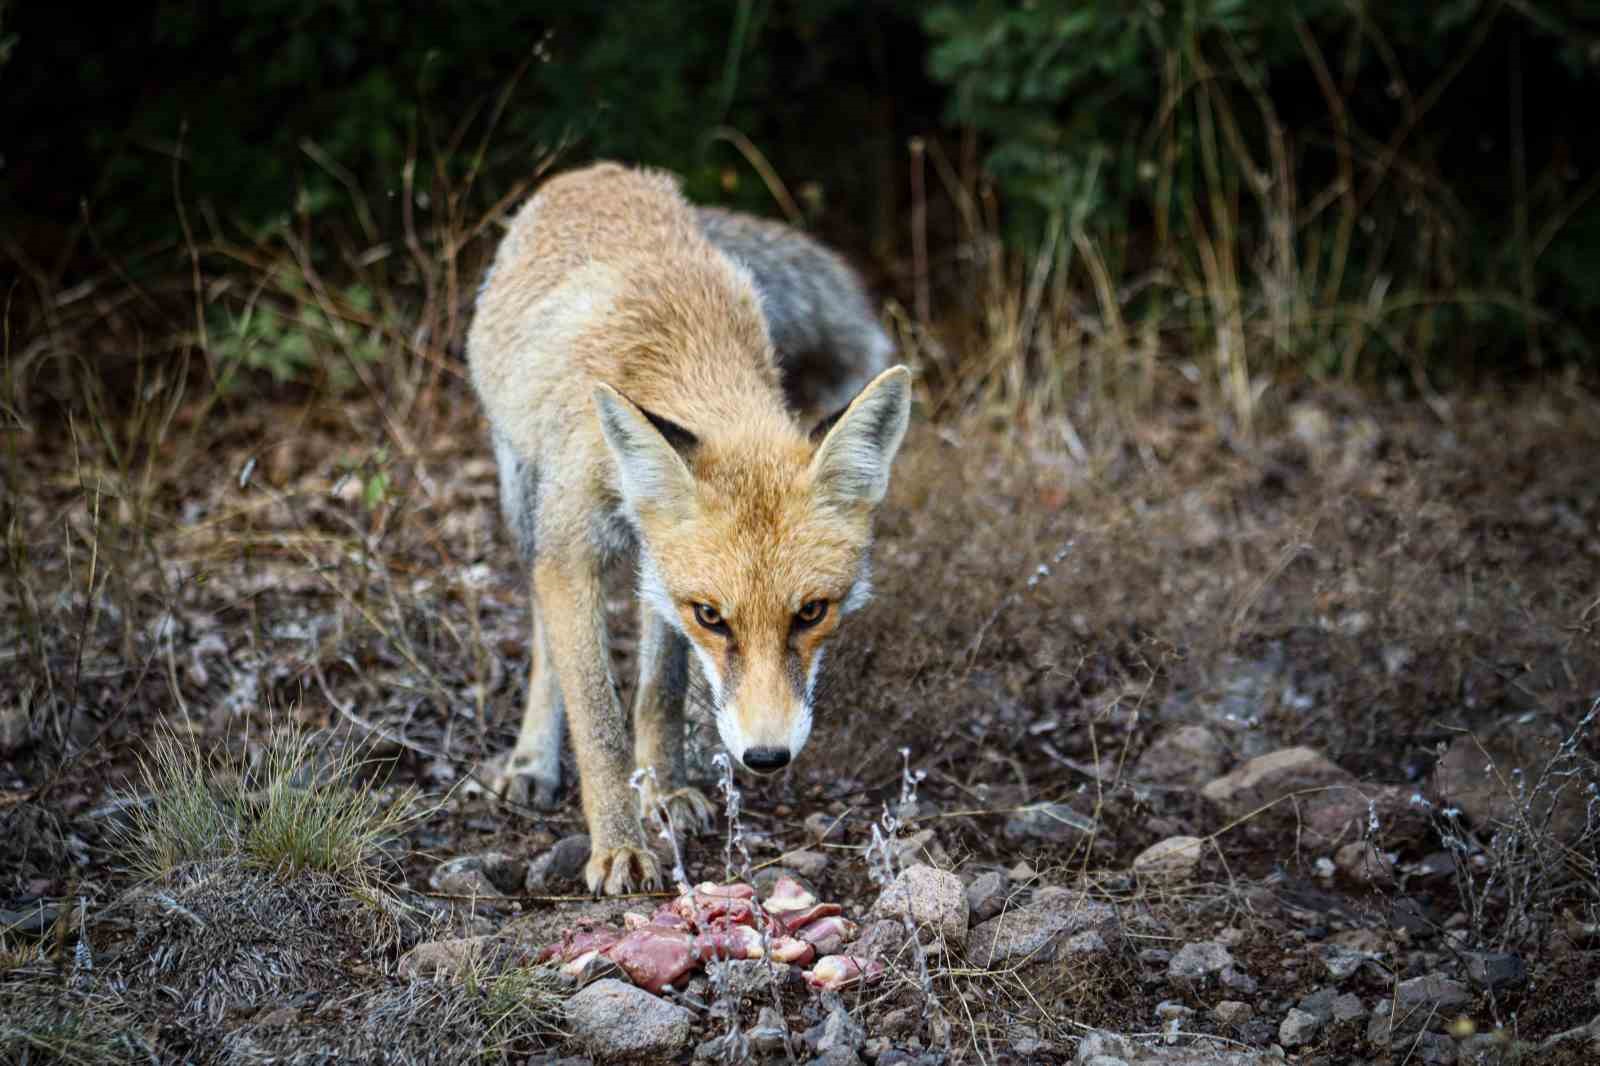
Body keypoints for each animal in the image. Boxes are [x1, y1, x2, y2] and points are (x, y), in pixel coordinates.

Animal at [464, 161, 915, 889]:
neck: (681, 346)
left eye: (812, 612)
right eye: (713, 617)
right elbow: (598, 720)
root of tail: (601, 170)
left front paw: (666, 789)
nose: (766, 757)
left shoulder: (662, 578)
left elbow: (661, 690)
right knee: (543, 637)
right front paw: (618, 844)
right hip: (523, 498)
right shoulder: (574, 552)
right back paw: (533, 760)